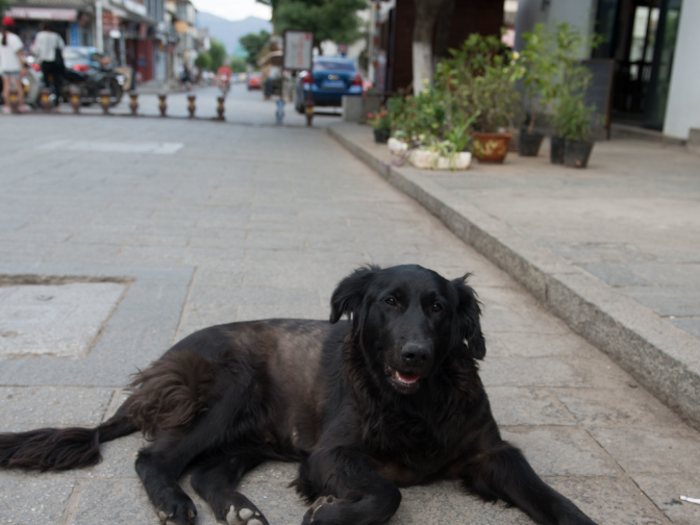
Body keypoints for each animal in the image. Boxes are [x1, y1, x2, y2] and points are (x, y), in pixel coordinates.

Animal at [0, 264, 596, 524]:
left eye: (438, 308)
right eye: (389, 302)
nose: (415, 355)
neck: (417, 404)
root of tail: (162, 365)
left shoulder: (491, 454)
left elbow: (551, 497)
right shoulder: (331, 454)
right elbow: (388, 492)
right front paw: (330, 515)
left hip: (254, 439)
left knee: (205, 472)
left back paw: (239, 510)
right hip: (230, 390)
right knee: (155, 458)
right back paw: (174, 505)